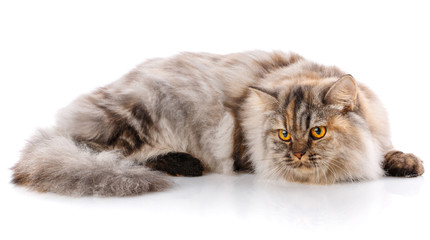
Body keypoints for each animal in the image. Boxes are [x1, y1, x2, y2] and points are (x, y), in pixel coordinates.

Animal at [11, 51, 424, 196]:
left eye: (317, 132)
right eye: (285, 135)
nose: (297, 155)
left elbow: (389, 151)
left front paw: (404, 163)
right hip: (138, 118)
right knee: (110, 155)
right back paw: (183, 164)